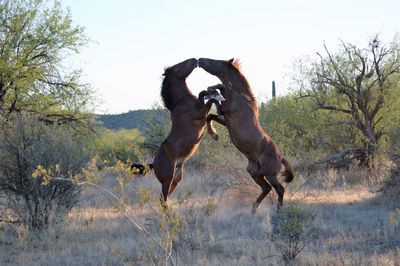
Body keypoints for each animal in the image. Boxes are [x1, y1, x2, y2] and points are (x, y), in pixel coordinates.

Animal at [152, 59, 223, 207]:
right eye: (177, 66)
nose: (195, 60)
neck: (181, 101)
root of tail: (153, 164)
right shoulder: (201, 113)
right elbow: (206, 98)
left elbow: (206, 98)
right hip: (168, 179)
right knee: (163, 199)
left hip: (176, 178)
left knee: (163, 197)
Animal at [199, 57, 296, 213]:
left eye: (217, 61)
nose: (200, 60)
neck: (242, 96)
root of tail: (281, 157)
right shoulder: (225, 119)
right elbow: (210, 115)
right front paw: (214, 134)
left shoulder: (227, 110)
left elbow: (219, 91)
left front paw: (211, 90)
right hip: (254, 172)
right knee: (267, 188)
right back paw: (254, 208)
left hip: (270, 174)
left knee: (279, 189)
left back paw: (277, 209)